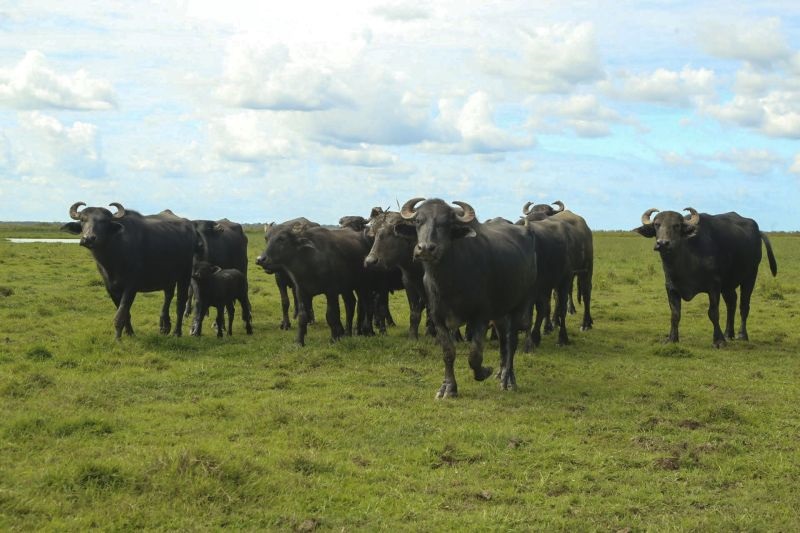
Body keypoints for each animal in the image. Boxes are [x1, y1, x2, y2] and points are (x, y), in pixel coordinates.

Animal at [60, 202, 195, 338]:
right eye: (83, 220)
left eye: (104, 221)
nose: (88, 238)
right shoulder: (110, 288)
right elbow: (125, 313)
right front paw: (129, 333)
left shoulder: (131, 287)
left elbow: (121, 313)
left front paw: (117, 338)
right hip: (168, 277)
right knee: (168, 296)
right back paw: (164, 327)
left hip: (185, 275)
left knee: (180, 303)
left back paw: (177, 332)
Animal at [400, 197, 536, 396]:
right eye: (418, 221)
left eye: (446, 223)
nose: (425, 249)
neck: (449, 281)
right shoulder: (438, 318)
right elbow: (448, 352)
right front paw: (448, 387)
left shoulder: (481, 317)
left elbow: (475, 355)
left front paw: (484, 372)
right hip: (500, 313)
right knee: (503, 341)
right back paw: (500, 372)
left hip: (519, 304)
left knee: (512, 341)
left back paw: (508, 379)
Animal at [636, 206, 780, 348]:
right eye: (657, 225)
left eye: (676, 225)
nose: (662, 243)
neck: (684, 262)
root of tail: (757, 231)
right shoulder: (671, 287)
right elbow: (675, 314)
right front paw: (672, 339)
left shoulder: (714, 286)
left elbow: (713, 313)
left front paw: (719, 341)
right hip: (728, 284)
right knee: (731, 304)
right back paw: (728, 334)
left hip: (750, 276)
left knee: (744, 306)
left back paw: (742, 335)